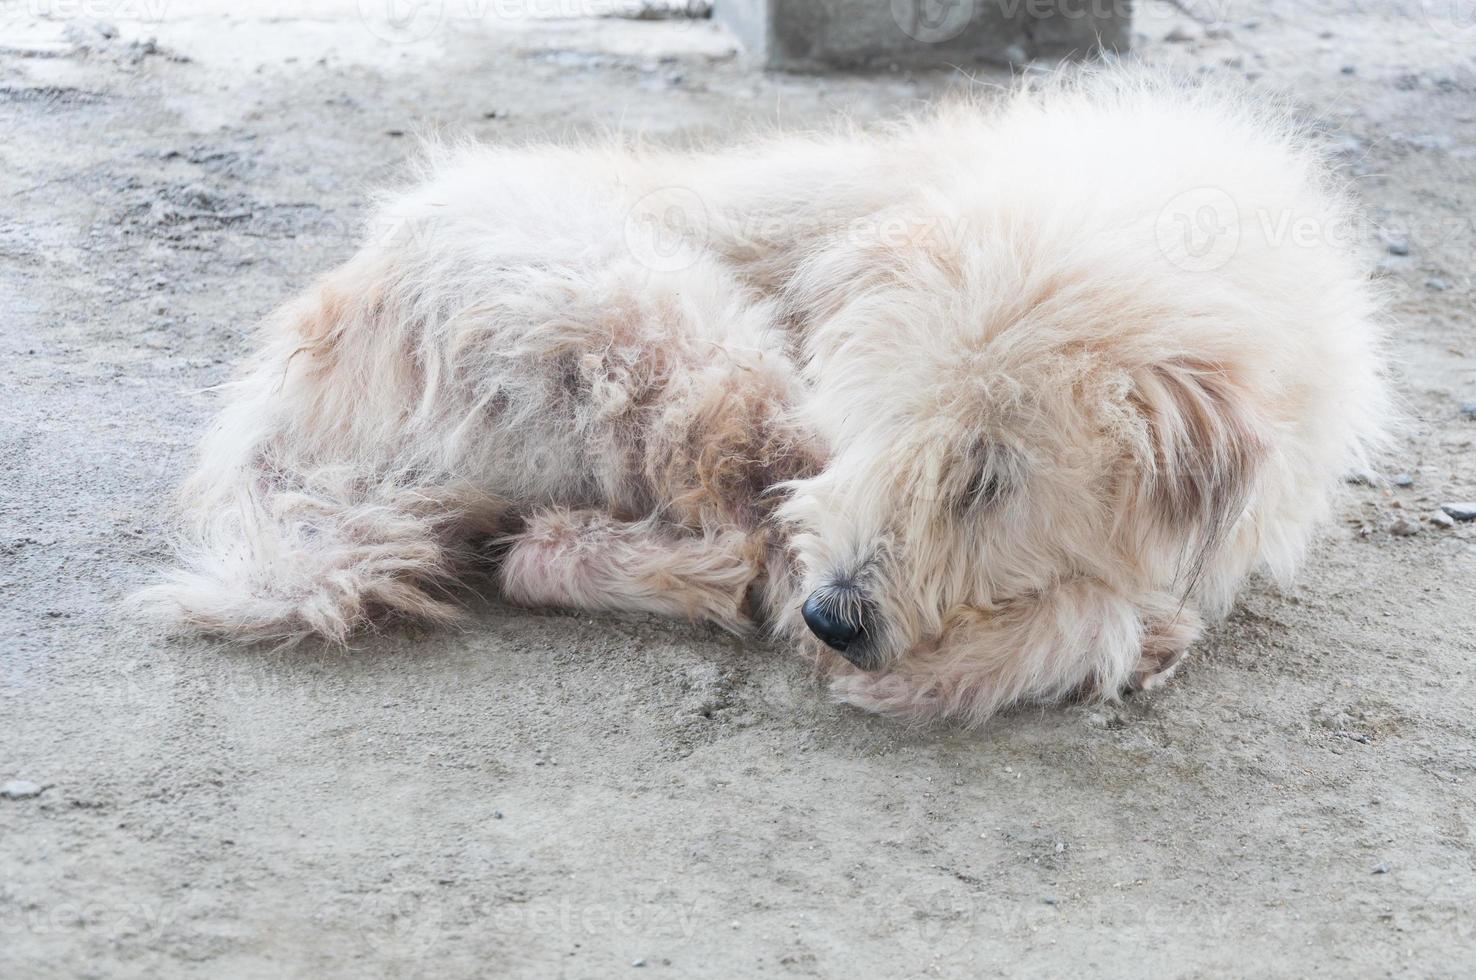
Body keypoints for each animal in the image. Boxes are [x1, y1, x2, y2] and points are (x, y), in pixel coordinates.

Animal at [138, 68, 1381, 723]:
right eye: (874, 422)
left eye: (991, 477)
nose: (844, 616)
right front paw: (1108, 630)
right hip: (682, 342)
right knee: (738, 547)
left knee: (537, 555)